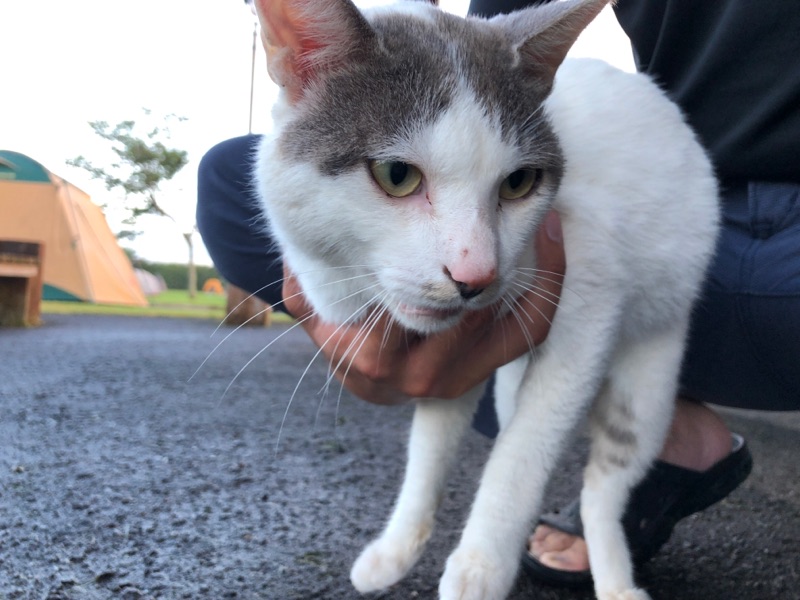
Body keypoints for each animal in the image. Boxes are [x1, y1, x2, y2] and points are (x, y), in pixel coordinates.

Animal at [250, 0, 719, 599]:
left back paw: (612, 576)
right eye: (396, 175)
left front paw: (481, 565)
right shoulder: (452, 360)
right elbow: (429, 449)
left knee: (603, 488)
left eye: (519, 183)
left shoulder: (588, 303)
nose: (475, 275)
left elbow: (521, 454)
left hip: (647, 381)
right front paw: (398, 546)